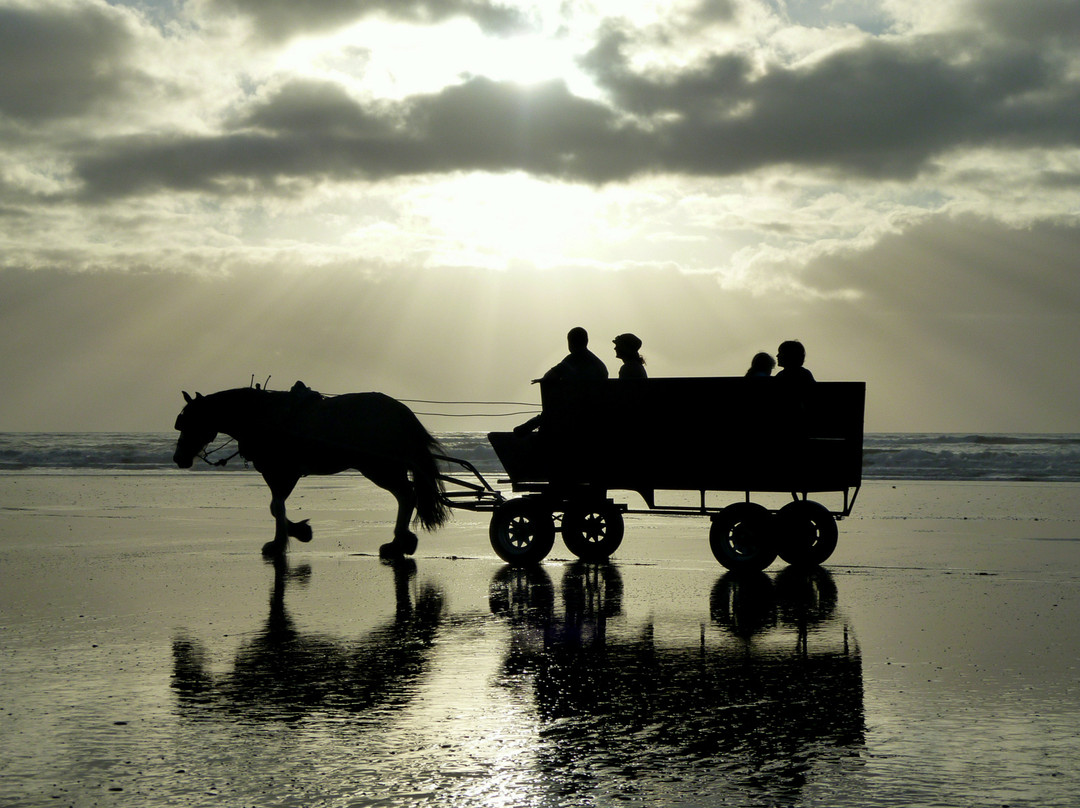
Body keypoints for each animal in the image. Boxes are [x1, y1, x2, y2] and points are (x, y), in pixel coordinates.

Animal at [171, 384, 447, 557]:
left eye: (189, 422)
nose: (178, 458)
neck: (263, 414)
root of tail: (401, 412)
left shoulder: (281, 471)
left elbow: (277, 507)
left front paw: (279, 543)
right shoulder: (282, 473)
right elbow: (275, 507)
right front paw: (297, 531)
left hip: (379, 467)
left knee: (406, 495)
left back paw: (399, 542)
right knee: (406, 495)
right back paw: (400, 542)